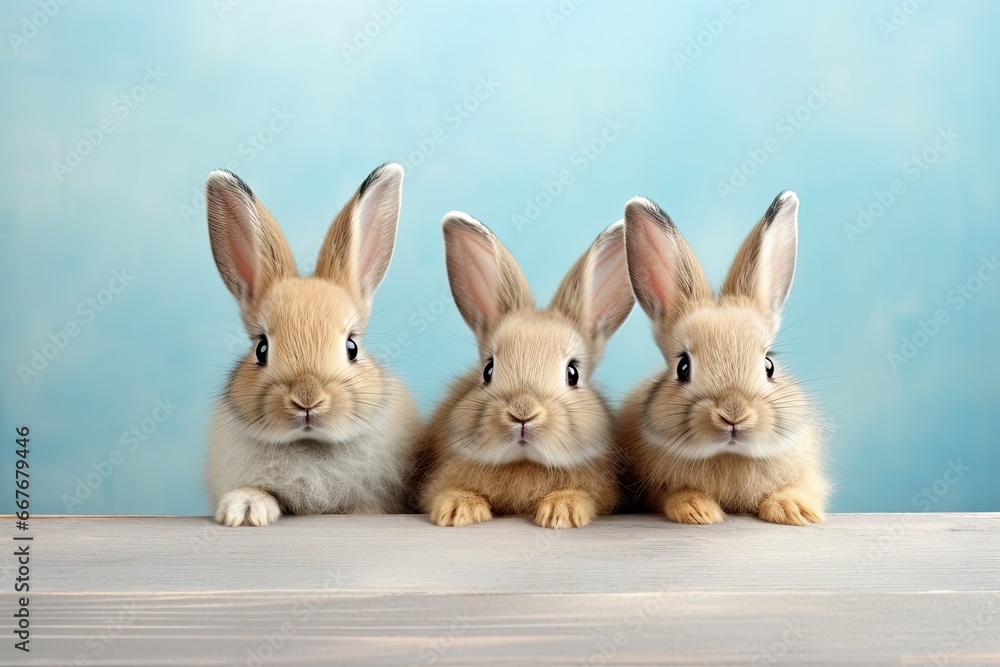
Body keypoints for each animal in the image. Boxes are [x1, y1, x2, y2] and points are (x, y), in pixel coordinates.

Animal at [416, 212, 635, 529]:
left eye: (573, 373)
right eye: (488, 370)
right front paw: (457, 511)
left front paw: (561, 512)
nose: (523, 412)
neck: (524, 462)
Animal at [617, 191, 828, 526]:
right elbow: (673, 495)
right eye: (683, 367)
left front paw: (793, 509)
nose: (733, 415)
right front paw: (698, 510)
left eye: (769, 365)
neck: (730, 453)